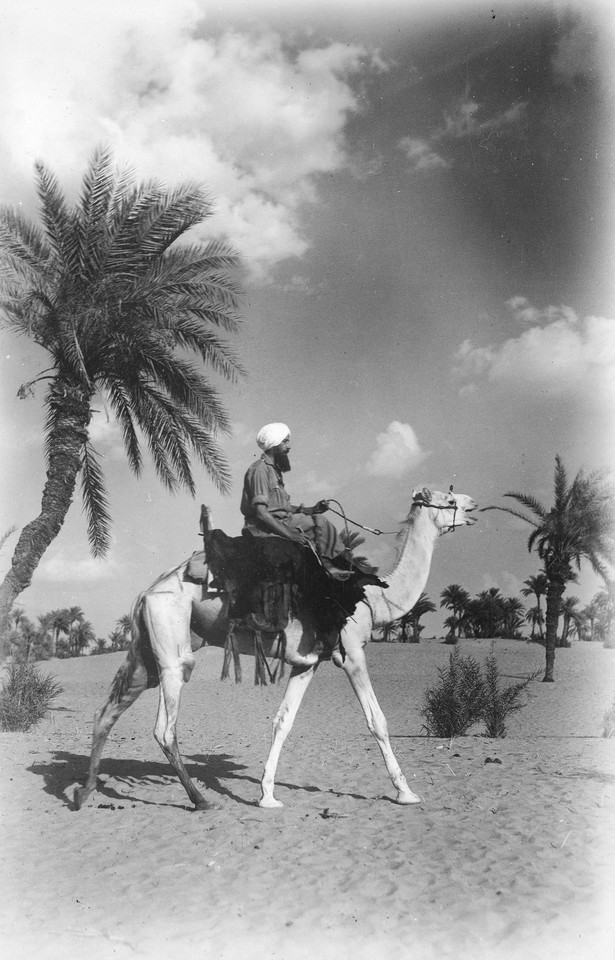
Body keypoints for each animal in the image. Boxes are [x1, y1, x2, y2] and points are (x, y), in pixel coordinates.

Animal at [72, 488, 476, 808]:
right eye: (448, 500)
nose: (473, 504)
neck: (374, 598)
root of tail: (145, 593)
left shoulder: (307, 662)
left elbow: (282, 721)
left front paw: (267, 796)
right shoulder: (351, 652)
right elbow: (377, 721)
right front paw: (406, 792)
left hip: (147, 653)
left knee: (106, 711)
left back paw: (83, 791)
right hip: (171, 645)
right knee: (164, 727)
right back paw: (200, 800)